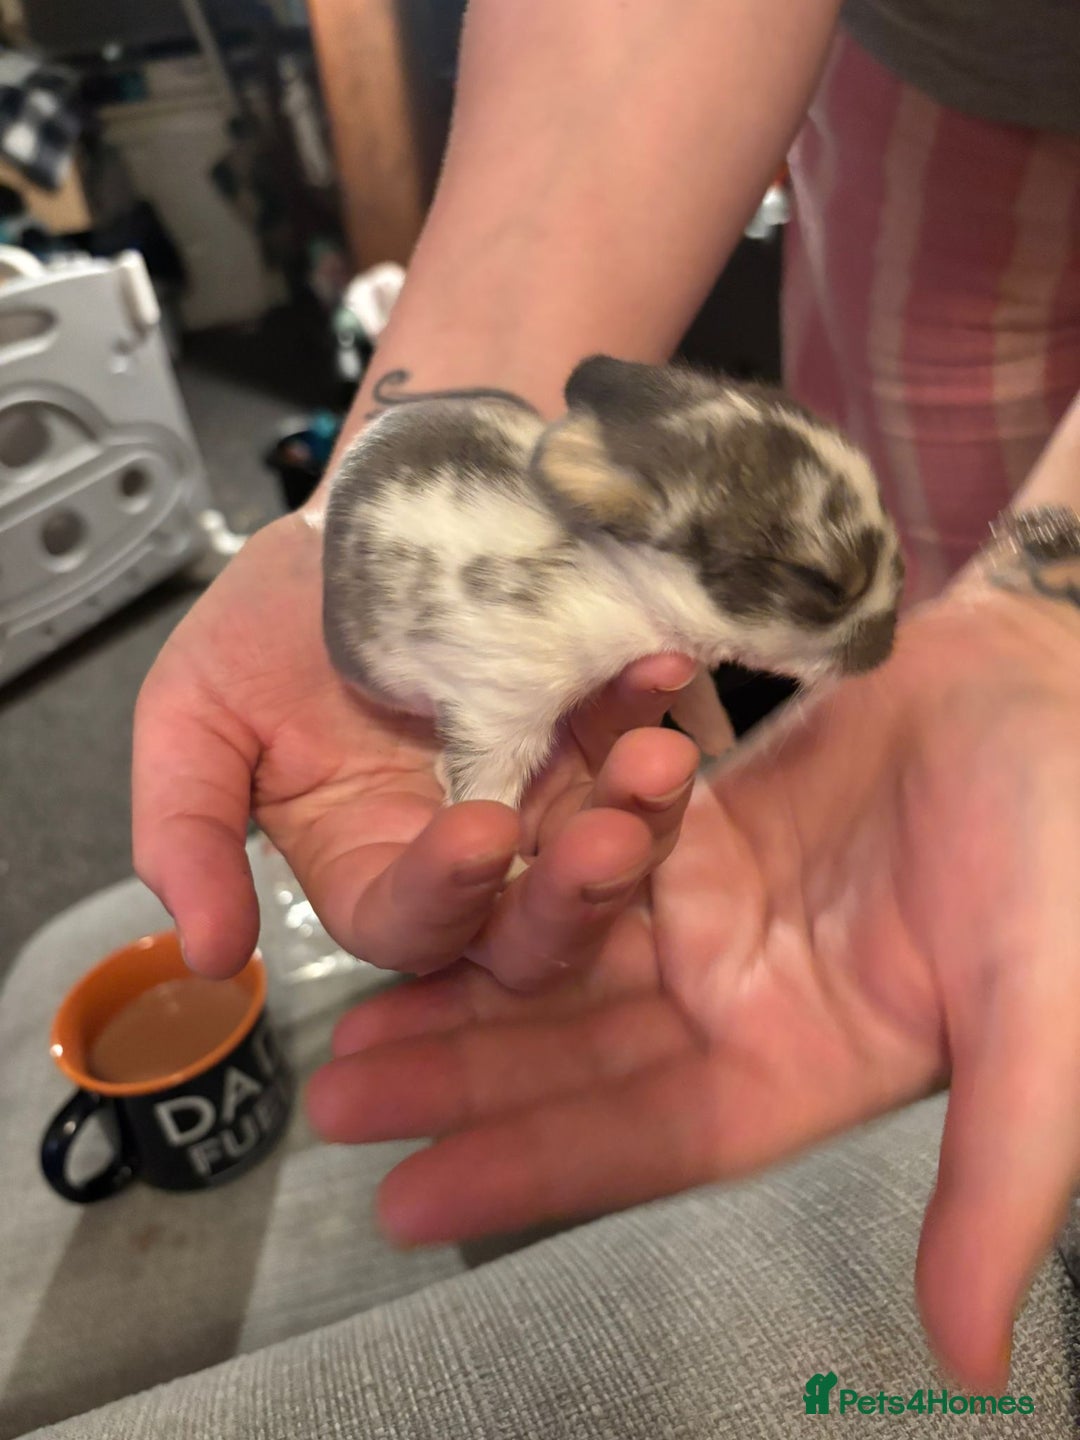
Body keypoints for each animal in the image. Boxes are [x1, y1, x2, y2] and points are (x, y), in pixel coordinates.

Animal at [322, 356, 905, 809]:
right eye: (818, 580)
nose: (886, 648)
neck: (612, 576)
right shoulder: (496, 711)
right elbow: (485, 792)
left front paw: (719, 737)